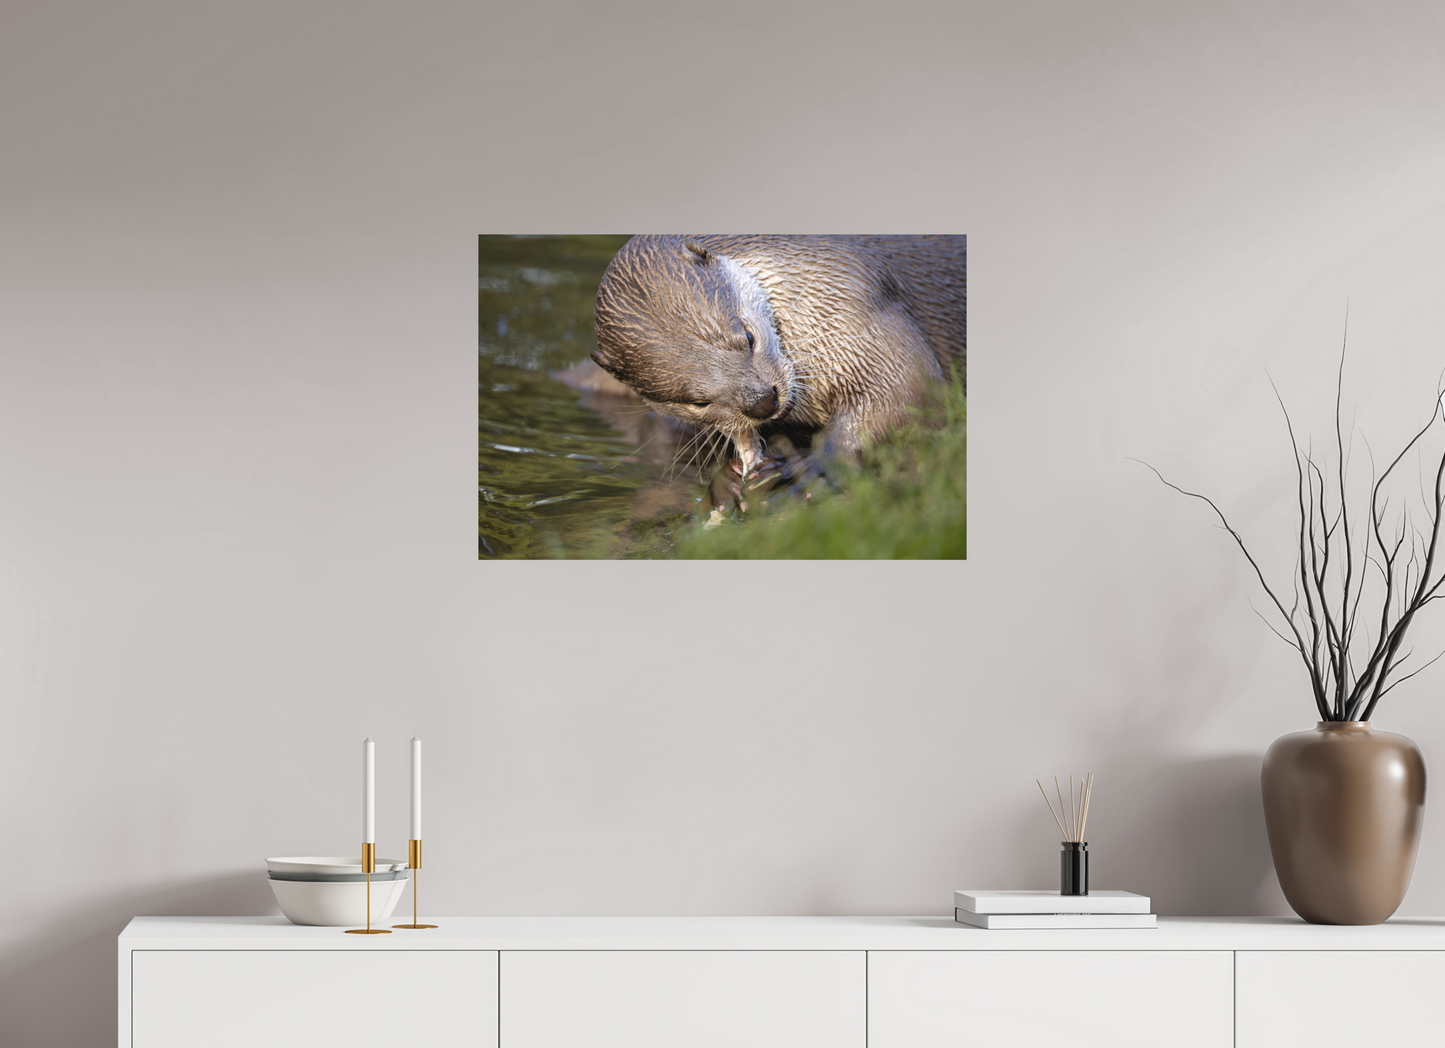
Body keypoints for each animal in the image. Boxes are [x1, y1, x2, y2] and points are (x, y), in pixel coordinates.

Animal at [591, 235, 965, 477]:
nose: (761, 402)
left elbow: (908, 392)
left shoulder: (854, 297)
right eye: (697, 402)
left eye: (748, 337)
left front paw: (813, 471)